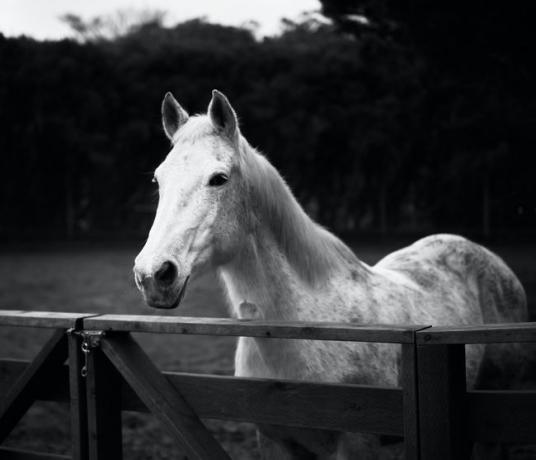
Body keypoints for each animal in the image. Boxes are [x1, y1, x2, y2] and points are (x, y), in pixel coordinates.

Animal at [133, 90, 528, 460]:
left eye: (219, 179)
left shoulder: (356, 444)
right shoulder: (275, 441)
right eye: (157, 179)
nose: (153, 274)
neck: (302, 328)